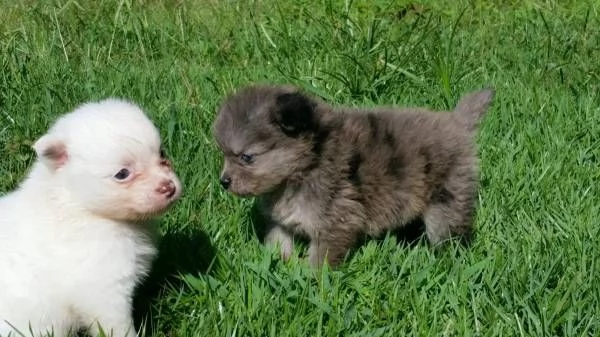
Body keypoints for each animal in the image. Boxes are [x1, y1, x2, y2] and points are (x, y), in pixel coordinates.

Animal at [0, 99, 183, 336]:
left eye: (161, 153)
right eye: (122, 174)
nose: (169, 187)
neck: (78, 206)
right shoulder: (103, 290)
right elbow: (117, 326)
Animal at [213, 84, 494, 268]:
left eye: (247, 157)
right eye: (223, 153)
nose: (223, 181)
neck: (307, 164)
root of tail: (456, 123)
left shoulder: (335, 222)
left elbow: (321, 259)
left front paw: (310, 283)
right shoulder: (280, 219)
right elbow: (279, 240)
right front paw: (280, 265)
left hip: (446, 199)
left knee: (448, 232)